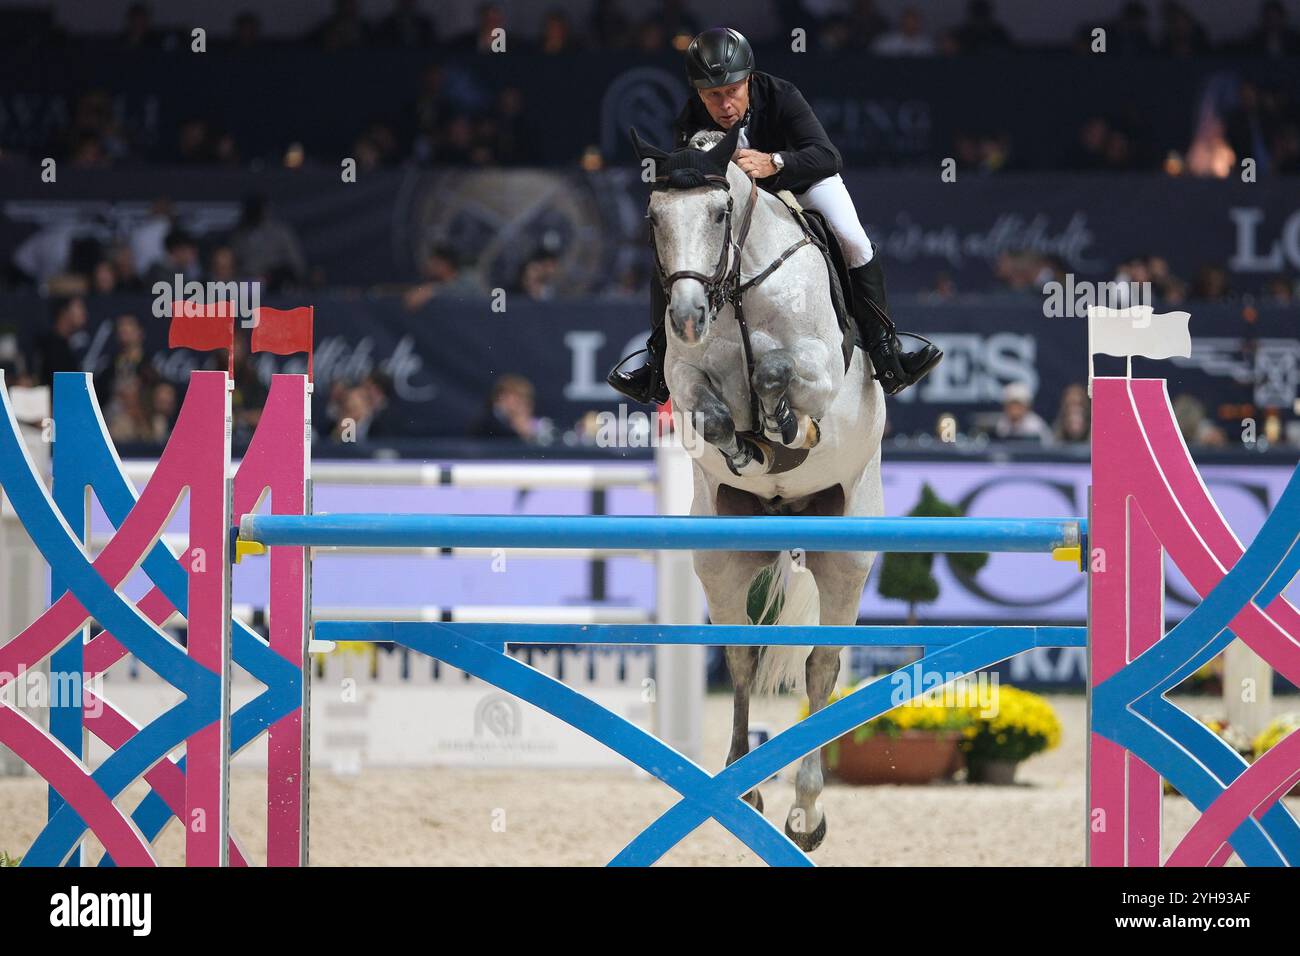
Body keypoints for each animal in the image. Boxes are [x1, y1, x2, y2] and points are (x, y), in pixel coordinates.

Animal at [634, 125, 889, 853]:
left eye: (720, 212)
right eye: (656, 218)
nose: (688, 317)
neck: (737, 288)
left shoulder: (821, 368)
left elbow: (783, 375)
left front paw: (784, 426)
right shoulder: (688, 385)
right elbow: (715, 413)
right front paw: (748, 446)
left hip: (846, 557)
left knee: (822, 669)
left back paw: (806, 813)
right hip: (721, 559)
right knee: (743, 658)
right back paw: (742, 786)